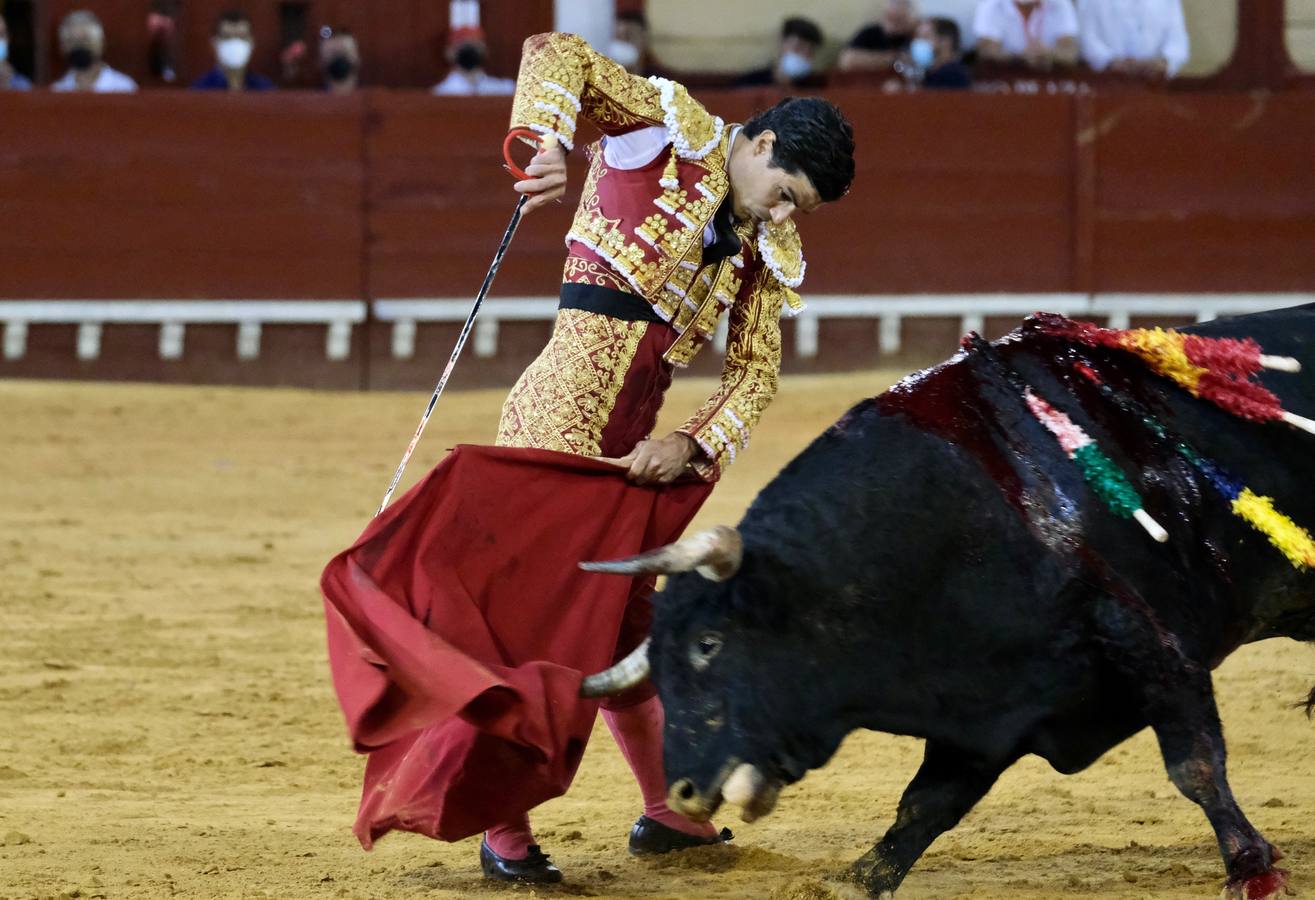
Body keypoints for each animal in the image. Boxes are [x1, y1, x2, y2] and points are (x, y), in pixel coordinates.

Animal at [581, 305, 1309, 894]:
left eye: (709, 645)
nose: (683, 790)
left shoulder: (1155, 647)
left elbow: (1195, 765)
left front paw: (1251, 869)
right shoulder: (985, 698)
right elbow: (925, 803)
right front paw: (856, 879)